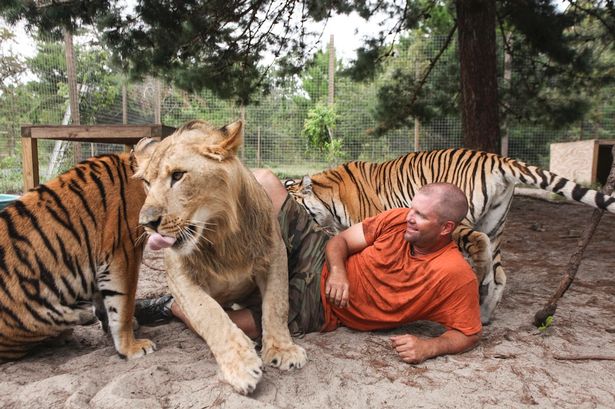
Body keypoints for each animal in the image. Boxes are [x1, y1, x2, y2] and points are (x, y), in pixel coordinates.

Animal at [135, 120, 308, 392]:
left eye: (178, 175)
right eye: (146, 182)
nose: (147, 223)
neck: (220, 235)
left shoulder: (274, 254)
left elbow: (276, 305)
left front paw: (283, 350)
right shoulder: (179, 276)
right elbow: (209, 314)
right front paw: (241, 366)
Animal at [286, 148, 615, 324]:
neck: (330, 197)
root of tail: (497, 158)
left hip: (458, 221)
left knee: (479, 249)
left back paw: (478, 287)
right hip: (496, 223)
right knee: (500, 273)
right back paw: (484, 314)